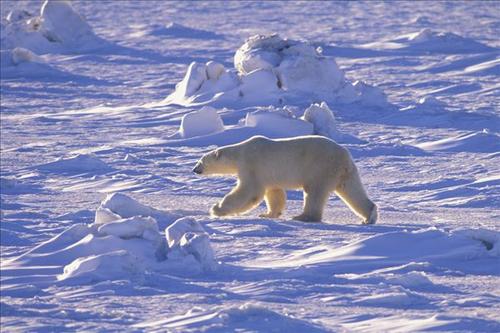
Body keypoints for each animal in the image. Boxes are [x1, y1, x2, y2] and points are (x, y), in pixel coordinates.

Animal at [193, 135, 376, 223]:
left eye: (201, 161)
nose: (194, 170)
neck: (240, 152)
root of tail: (344, 156)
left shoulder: (251, 165)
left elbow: (249, 192)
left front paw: (216, 209)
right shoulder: (268, 175)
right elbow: (275, 193)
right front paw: (268, 214)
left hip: (320, 168)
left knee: (314, 192)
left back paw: (303, 217)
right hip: (345, 173)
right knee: (352, 191)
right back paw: (369, 216)